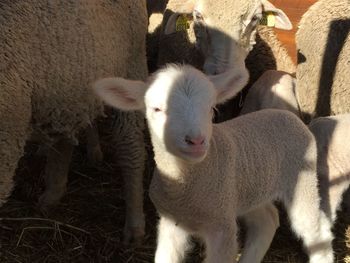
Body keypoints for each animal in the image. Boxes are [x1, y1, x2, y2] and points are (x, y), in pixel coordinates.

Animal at [0, 0, 148, 244]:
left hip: (130, 66)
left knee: (131, 148)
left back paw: (135, 226)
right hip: (69, 84)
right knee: (64, 137)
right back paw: (52, 195)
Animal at [93, 64, 334, 263]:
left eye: (211, 108)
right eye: (157, 109)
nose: (196, 141)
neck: (185, 187)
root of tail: (287, 114)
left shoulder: (222, 229)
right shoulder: (172, 223)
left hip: (301, 181)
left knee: (315, 229)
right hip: (247, 191)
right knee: (267, 220)